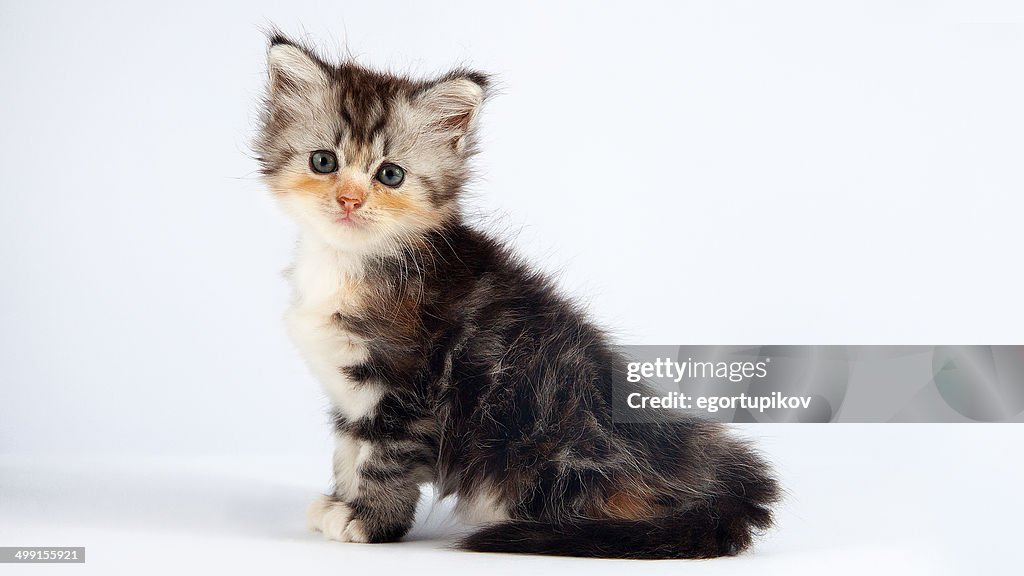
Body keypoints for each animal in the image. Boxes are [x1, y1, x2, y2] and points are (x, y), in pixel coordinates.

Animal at [253, 32, 774, 557]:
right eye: (323, 162)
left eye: (390, 175)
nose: (349, 200)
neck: (352, 261)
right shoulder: (351, 395)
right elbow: (348, 449)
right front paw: (338, 502)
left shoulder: (409, 384)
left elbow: (382, 458)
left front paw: (370, 522)